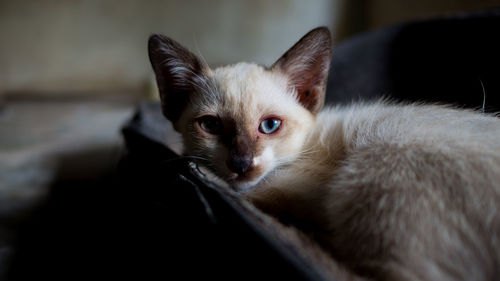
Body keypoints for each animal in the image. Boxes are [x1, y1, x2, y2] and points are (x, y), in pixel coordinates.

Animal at [147, 26, 500, 280]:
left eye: (270, 125)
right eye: (211, 125)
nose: (241, 163)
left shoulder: (292, 189)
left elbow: (250, 194)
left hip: (371, 171)